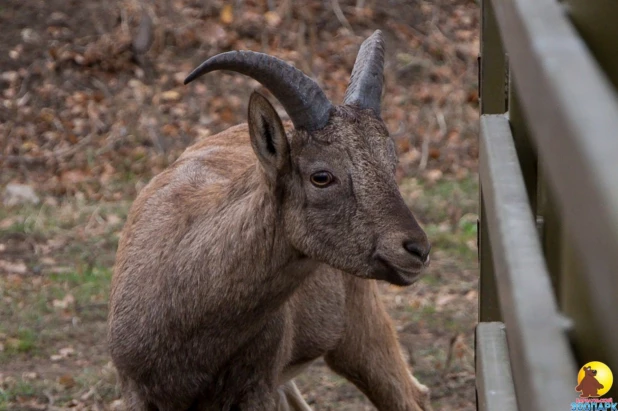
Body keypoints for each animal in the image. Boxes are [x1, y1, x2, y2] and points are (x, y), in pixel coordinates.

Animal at [108, 29, 430, 411]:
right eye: (321, 176)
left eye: (391, 163)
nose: (416, 249)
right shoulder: (134, 390)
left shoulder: (257, 389)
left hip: (357, 332)